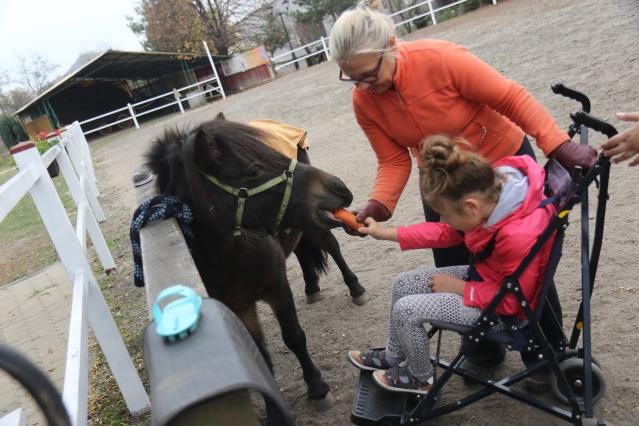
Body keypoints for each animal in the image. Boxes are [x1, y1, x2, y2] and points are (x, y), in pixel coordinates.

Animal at [145, 117, 357, 408]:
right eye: (254, 169)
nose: (339, 188)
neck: (227, 257)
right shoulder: (238, 307)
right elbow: (260, 357)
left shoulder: (277, 287)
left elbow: (294, 337)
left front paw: (317, 387)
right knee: (302, 252)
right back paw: (312, 287)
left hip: (314, 223)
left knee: (332, 247)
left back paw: (355, 288)